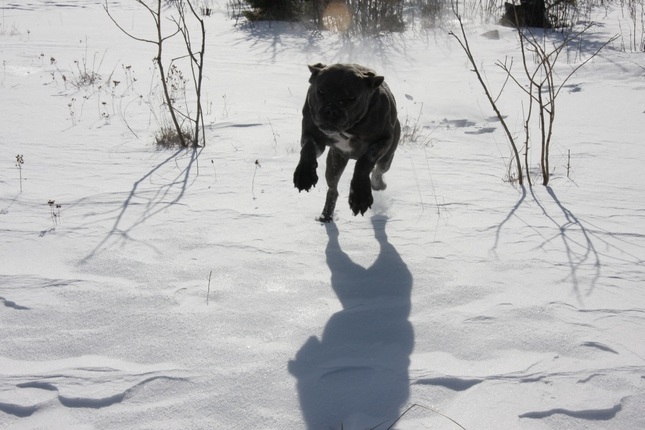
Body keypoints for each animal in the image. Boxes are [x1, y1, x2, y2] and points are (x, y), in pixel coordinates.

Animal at [294, 64, 400, 225]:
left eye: (352, 97)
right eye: (320, 91)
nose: (331, 110)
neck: (349, 129)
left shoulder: (383, 140)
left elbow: (364, 162)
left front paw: (360, 196)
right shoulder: (313, 135)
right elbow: (308, 149)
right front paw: (304, 175)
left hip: (387, 157)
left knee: (378, 171)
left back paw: (377, 185)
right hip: (334, 164)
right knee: (333, 190)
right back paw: (326, 216)